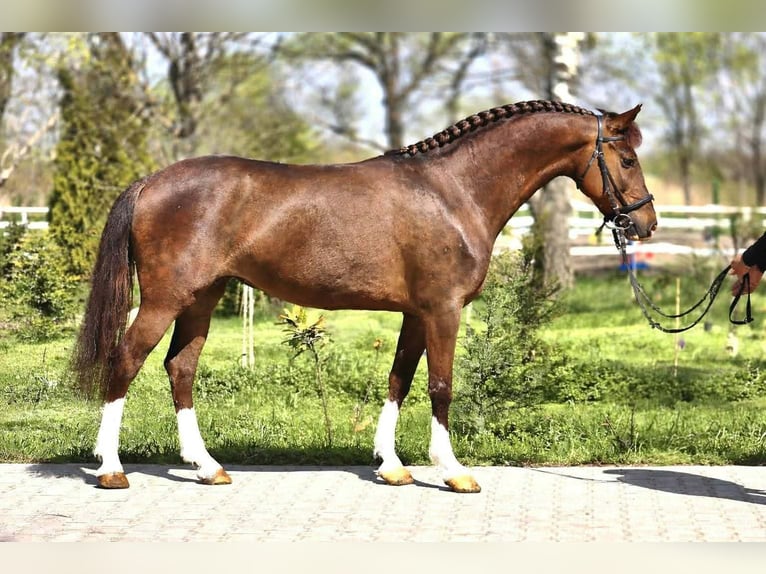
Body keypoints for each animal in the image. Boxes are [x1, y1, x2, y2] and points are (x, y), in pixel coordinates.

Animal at [72, 99, 657, 492]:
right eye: (627, 159)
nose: (646, 223)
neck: (452, 191)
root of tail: (150, 182)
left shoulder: (416, 314)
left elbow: (400, 379)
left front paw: (393, 466)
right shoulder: (442, 311)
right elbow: (441, 386)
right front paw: (454, 471)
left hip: (201, 299)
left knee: (180, 368)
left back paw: (208, 467)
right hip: (166, 300)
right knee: (126, 361)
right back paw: (111, 469)